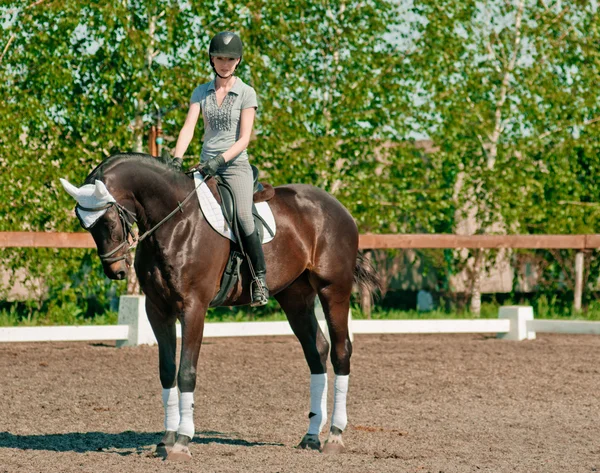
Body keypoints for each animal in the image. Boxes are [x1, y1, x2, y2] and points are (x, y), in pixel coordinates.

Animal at [61, 153, 380, 460]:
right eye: (83, 223)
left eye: (108, 221)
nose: (115, 271)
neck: (174, 222)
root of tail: (337, 206)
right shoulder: (157, 310)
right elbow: (167, 371)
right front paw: (165, 440)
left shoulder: (193, 307)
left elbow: (186, 372)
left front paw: (182, 443)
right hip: (295, 297)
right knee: (317, 351)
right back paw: (312, 436)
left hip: (333, 289)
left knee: (340, 352)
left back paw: (335, 436)